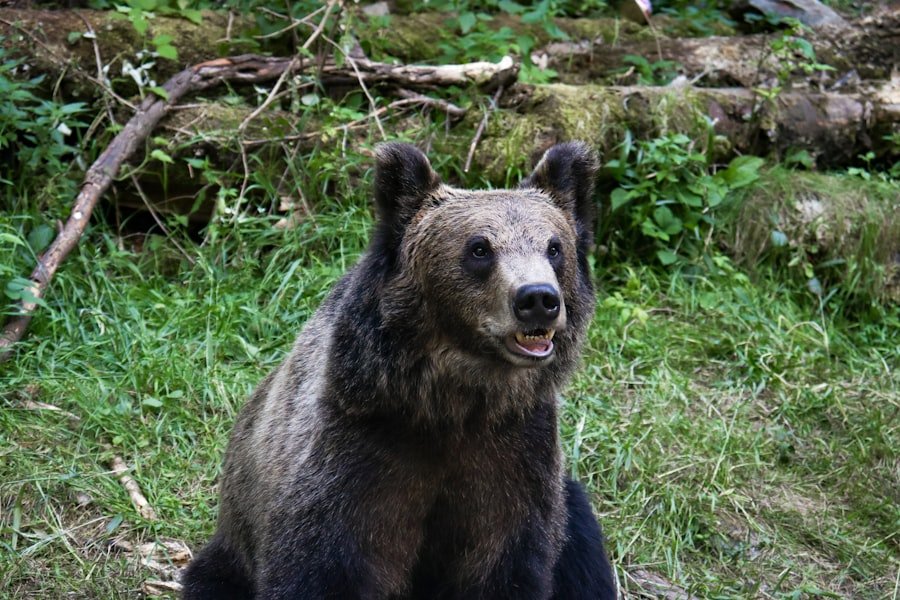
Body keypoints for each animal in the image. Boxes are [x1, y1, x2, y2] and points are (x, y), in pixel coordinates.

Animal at [181, 141, 616, 600]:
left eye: (554, 247)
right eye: (479, 248)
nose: (538, 299)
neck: (453, 400)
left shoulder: (516, 456)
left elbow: (508, 562)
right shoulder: (358, 454)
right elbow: (321, 563)